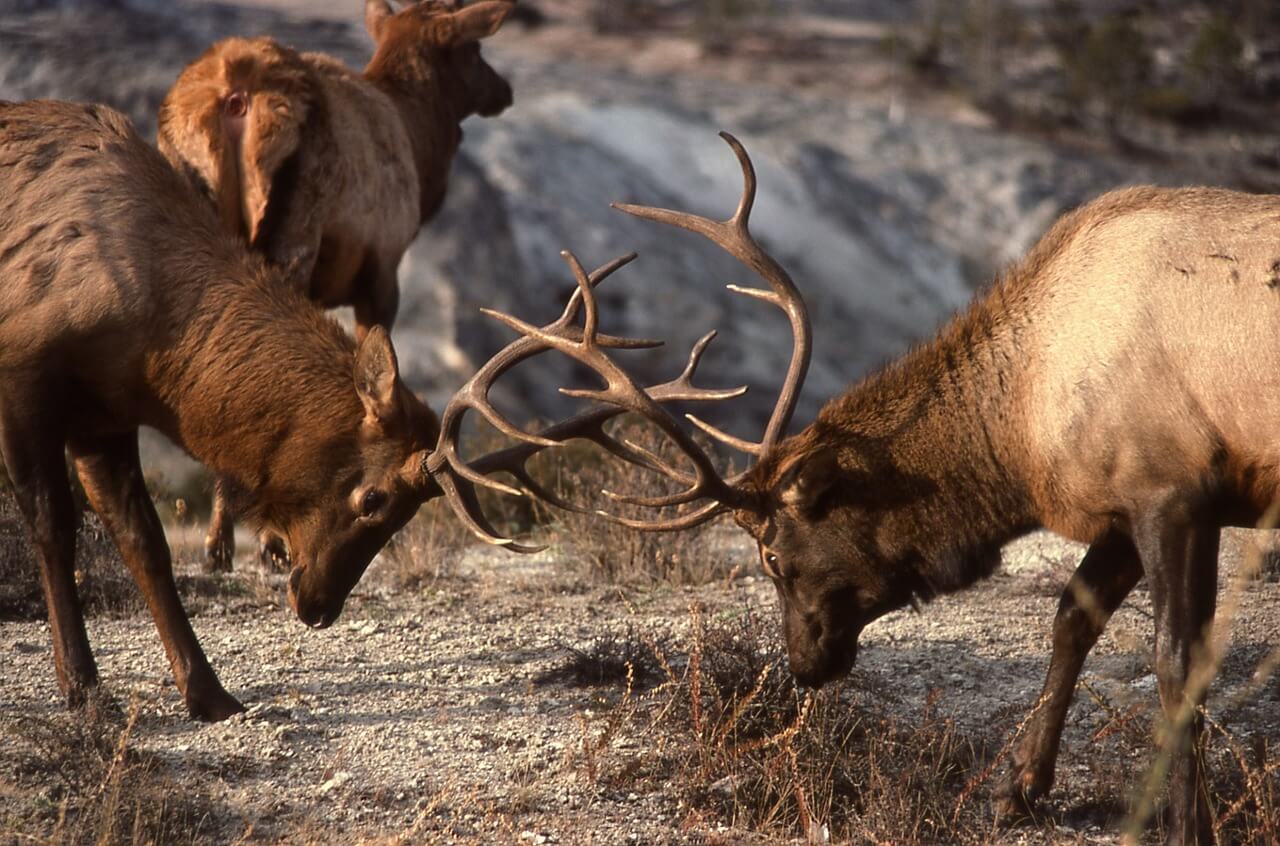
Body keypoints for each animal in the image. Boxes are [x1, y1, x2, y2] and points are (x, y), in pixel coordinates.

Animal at [158, 0, 514, 570]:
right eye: (475, 48)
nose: (504, 89)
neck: (418, 143)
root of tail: (234, 98)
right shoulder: (382, 268)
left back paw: (219, 546)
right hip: (296, 226)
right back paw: (265, 542)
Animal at [483, 133, 1274, 844]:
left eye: (774, 557)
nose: (803, 666)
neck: (1026, 425)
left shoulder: (1170, 491)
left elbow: (1177, 661)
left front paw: (1187, 826)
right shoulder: (1130, 506)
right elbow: (1071, 619)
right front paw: (1014, 789)